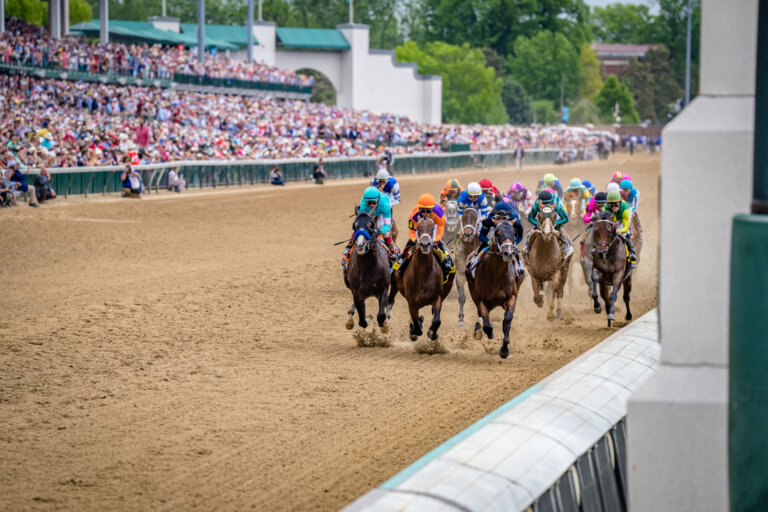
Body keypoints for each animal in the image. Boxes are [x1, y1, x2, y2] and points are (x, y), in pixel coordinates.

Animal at [464, 221, 524, 360]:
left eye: (514, 232)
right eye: (497, 233)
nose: (508, 253)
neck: (497, 274)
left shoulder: (511, 297)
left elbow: (507, 319)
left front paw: (504, 350)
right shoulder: (481, 299)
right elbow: (486, 323)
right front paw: (489, 331)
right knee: (481, 315)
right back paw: (479, 330)